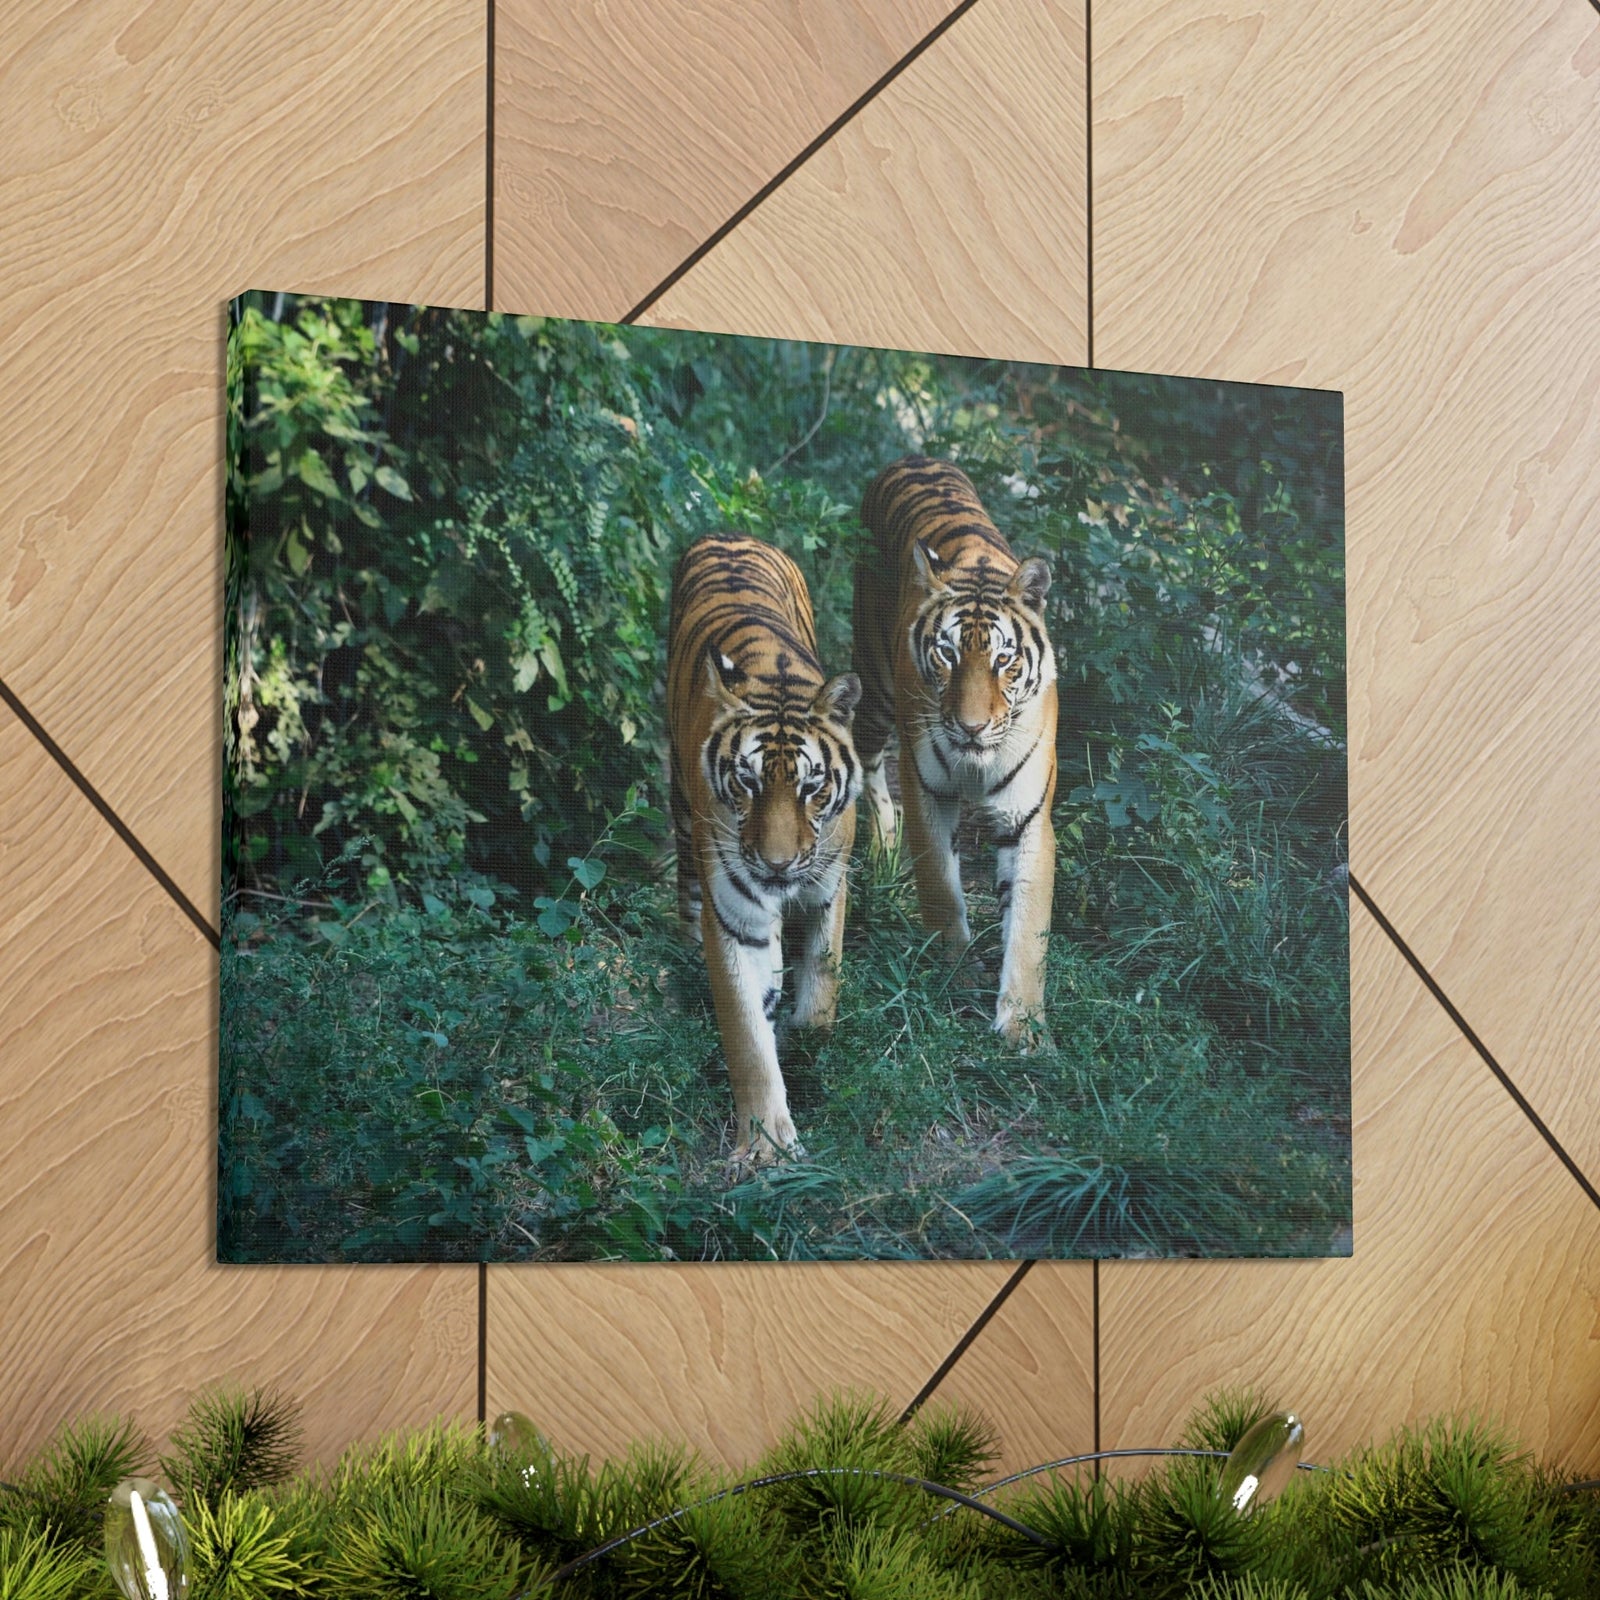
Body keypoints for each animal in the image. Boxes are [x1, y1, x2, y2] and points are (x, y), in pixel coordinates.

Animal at [666, 532, 863, 1160]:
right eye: (747, 782)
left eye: (811, 787)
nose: (776, 865)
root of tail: (731, 533)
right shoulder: (735, 915)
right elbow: (748, 1037)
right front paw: (765, 1146)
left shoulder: (829, 886)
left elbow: (822, 990)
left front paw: (806, 1044)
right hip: (681, 807)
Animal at [851, 455, 1057, 1047]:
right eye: (946, 654)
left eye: (1004, 660)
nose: (970, 727)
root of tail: (915, 457)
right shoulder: (928, 794)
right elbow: (942, 889)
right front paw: (957, 973)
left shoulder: (1029, 819)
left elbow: (1028, 929)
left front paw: (1023, 1027)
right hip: (875, 685)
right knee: (870, 767)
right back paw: (882, 851)